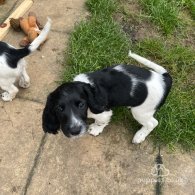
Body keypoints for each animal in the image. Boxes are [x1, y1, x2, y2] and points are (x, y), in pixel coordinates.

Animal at [42, 51, 172, 144]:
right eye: (59, 108)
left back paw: (139, 136)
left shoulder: (104, 112)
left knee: (153, 123)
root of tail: (164, 79)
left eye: (81, 105)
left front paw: (96, 129)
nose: (75, 132)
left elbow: (101, 121)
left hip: (141, 111)